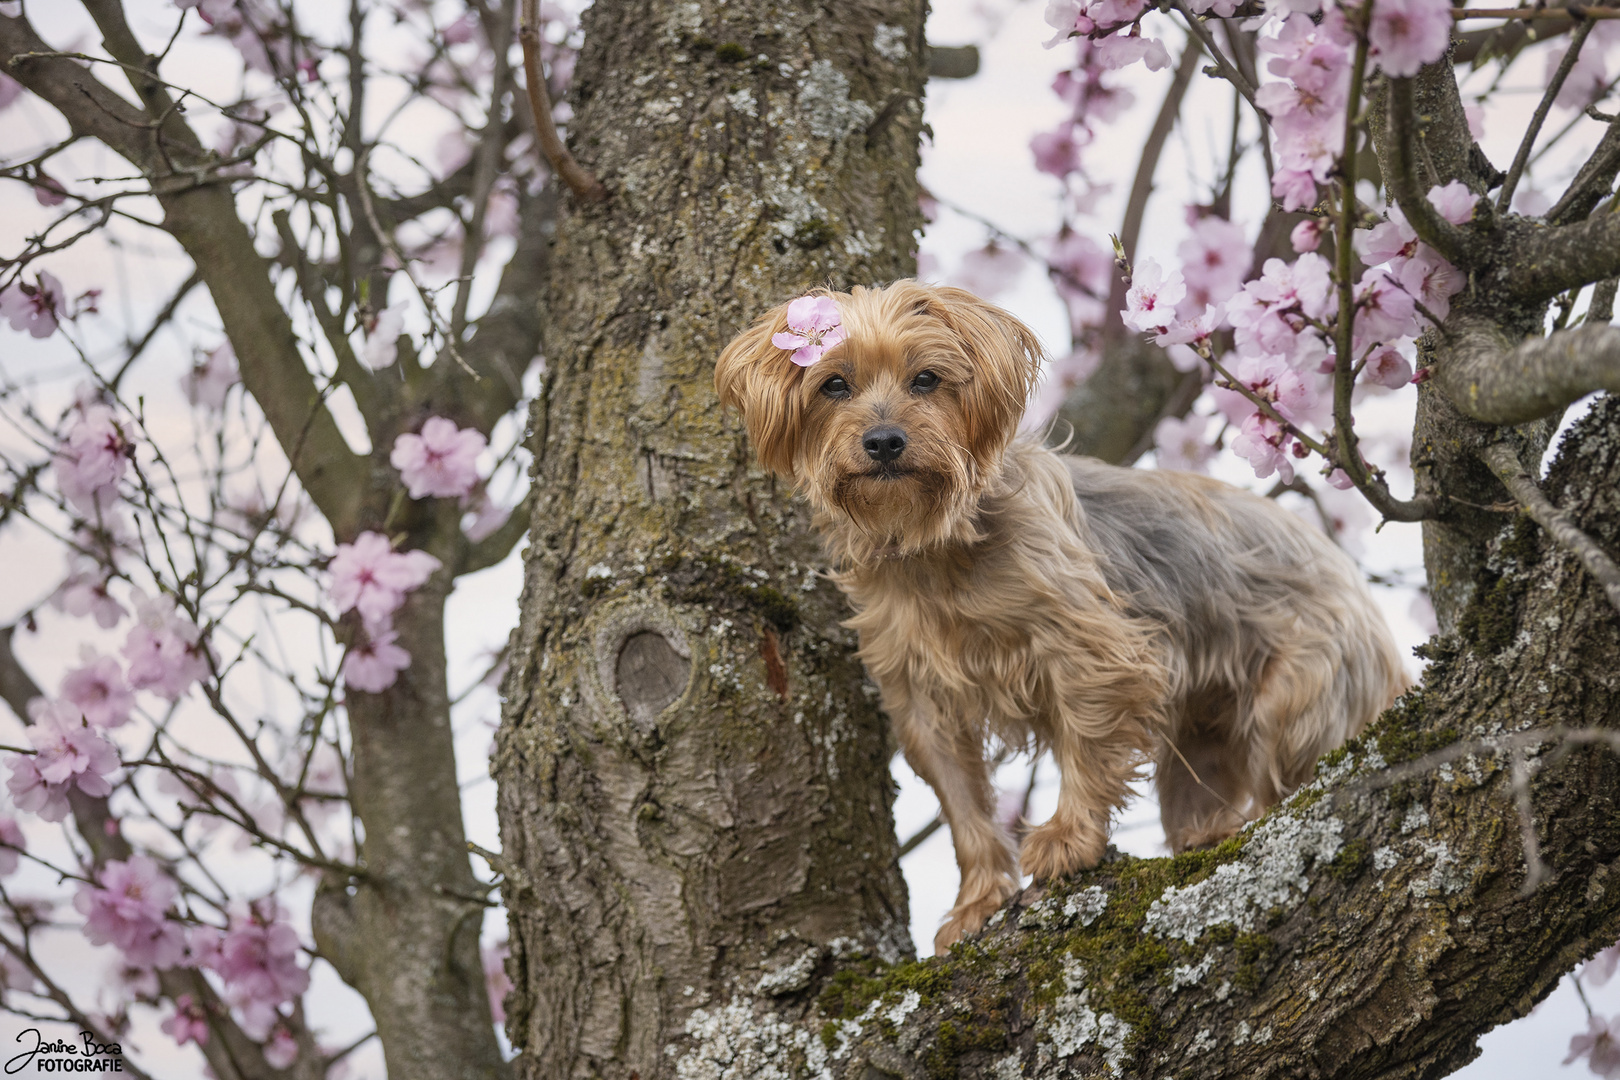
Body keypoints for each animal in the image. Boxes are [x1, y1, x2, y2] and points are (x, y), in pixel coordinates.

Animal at [712, 281, 1406, 952]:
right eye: (833, 384)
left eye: (926, 379)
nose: (884, 441)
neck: (932, 547)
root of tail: (1351, 577)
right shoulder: (923, 698)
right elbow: (964, 807)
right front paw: (977, 902)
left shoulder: (1091, 651)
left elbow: (1087, 743)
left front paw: (1068, 840)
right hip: (1204, 735)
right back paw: (1207, 833)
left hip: (1296, 697)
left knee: (1291, 775)